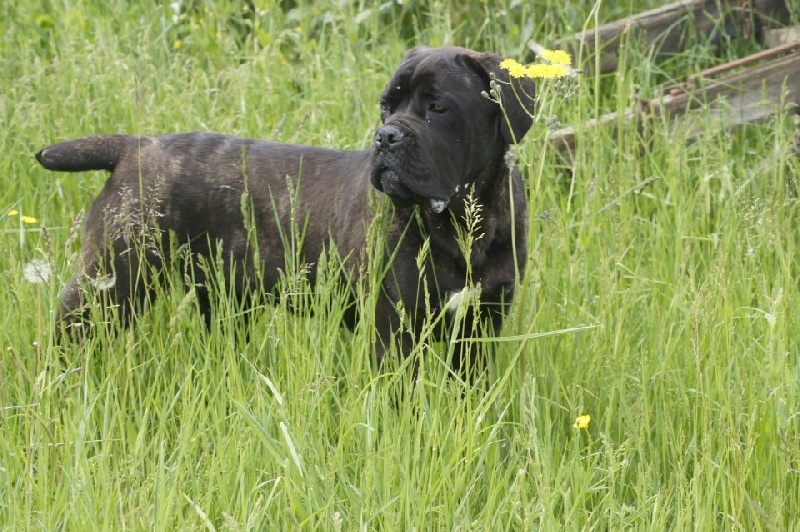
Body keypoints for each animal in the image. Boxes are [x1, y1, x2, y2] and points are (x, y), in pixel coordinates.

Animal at [36, 46, 536, 372]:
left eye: (438, 107)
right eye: (386, 106)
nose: (387, 136)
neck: (460, 224)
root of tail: (135, 147)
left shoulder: (479, 327)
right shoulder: (393, 330)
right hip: (107, 286)